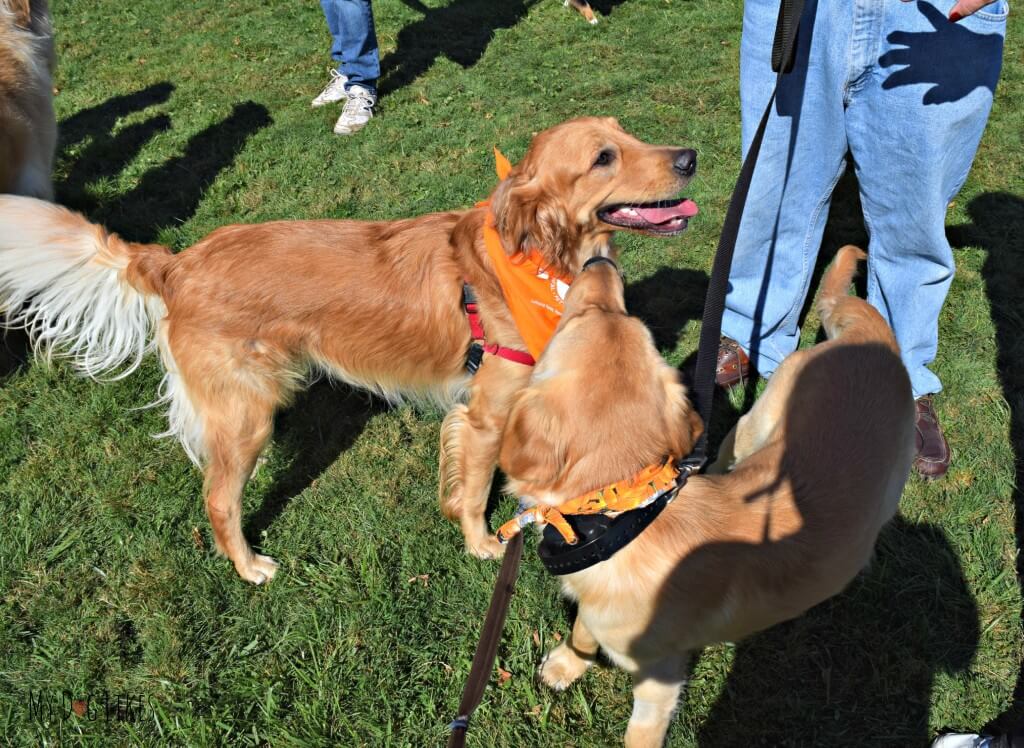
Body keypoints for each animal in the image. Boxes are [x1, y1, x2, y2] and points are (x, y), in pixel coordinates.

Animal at [0, 116, 696, 582]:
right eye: (604, 157)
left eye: (628, 133)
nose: (691, 155)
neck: (534, 260)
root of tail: (176, 263)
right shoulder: (486, 414)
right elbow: (473, 491)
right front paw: (481, 545)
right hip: (247, 415)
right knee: (219, 499)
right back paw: (248, 566)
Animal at [499, 245, 917, 745]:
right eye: (618, 315)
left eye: (581, 318)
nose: (601, 262)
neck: (623, 512)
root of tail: (872, 337)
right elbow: (583, 627)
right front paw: (567, 663)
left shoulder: (660, 679)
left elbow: (639, 733)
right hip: (756, 421)